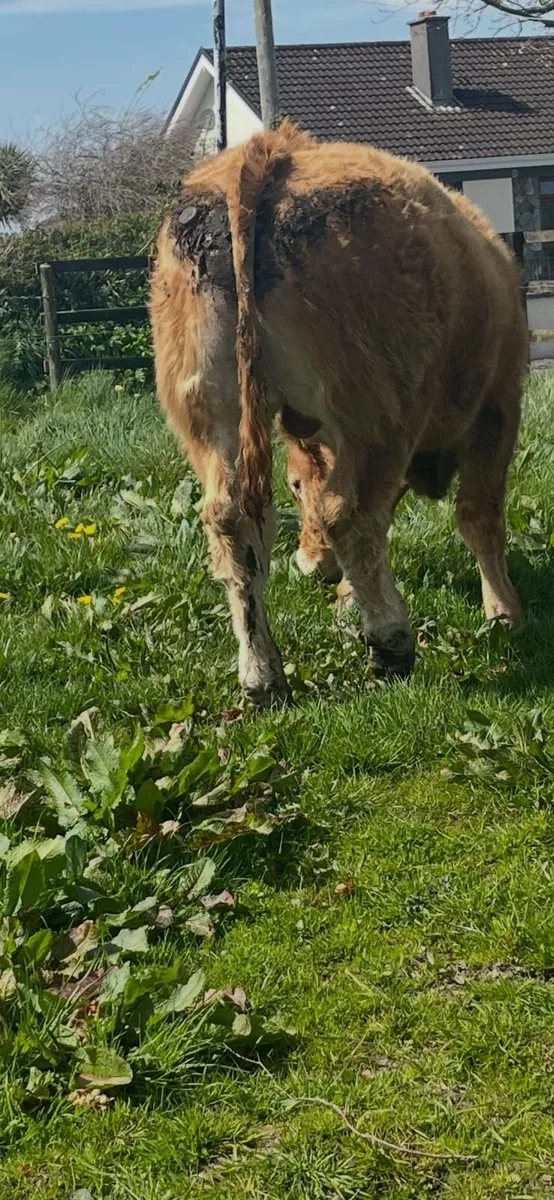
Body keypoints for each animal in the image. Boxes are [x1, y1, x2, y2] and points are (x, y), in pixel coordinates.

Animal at [150, 121, 527, 705]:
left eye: (294, 485)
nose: (311, 565)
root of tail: (269, 153)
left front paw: (349, 594)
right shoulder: (498, 407)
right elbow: (479, 516)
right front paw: (504, 611)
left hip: (213, 415)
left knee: (234, 521)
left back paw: (263, 676)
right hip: (378, 413)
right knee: (348, 515)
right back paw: (391, 645)